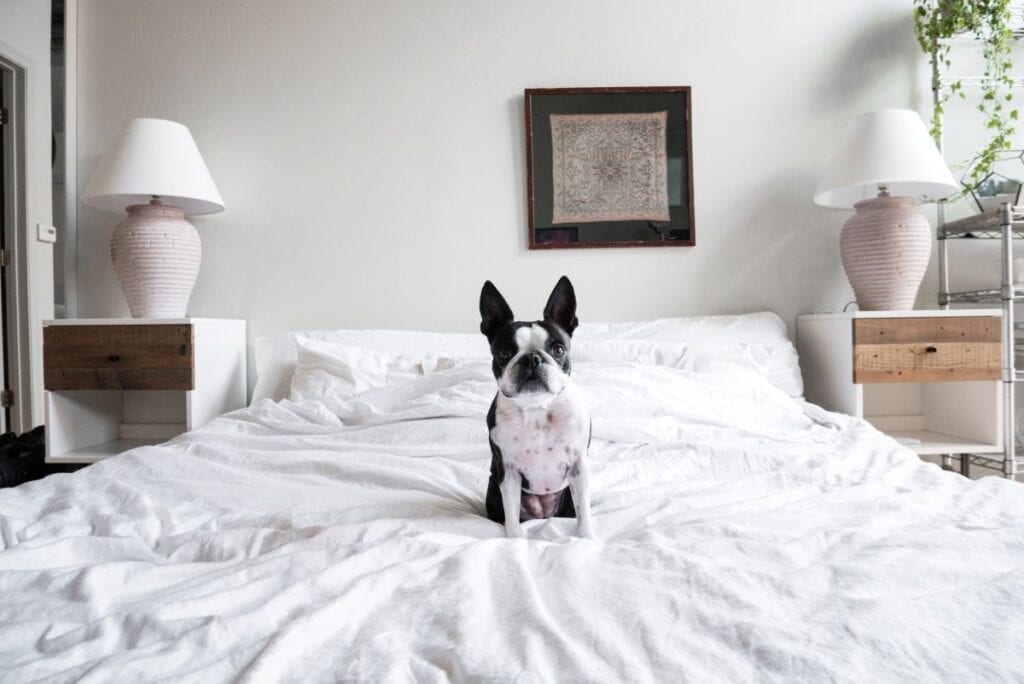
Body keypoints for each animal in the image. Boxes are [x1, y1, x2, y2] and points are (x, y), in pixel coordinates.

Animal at [477, 274, 598, 540]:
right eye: (505, 352)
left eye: (558, 349)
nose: (532, 358)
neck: (537, 409)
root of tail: (543, 516)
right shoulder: (508, 471)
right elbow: (512, 515)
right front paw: (515, 541)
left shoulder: (579, 467)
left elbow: (584, 512)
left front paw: (587, 538)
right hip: (493, 487)